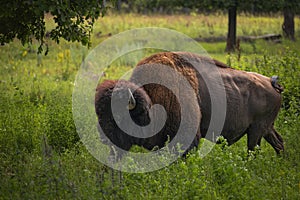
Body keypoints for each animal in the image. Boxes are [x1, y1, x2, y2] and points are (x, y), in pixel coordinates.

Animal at [95, 51, 284, 158]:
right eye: (99, 114)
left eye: (119, 117)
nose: (103, 138)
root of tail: (270, 82)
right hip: (267, 128)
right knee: (279, 143)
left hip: (257, 130)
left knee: (254, 149)